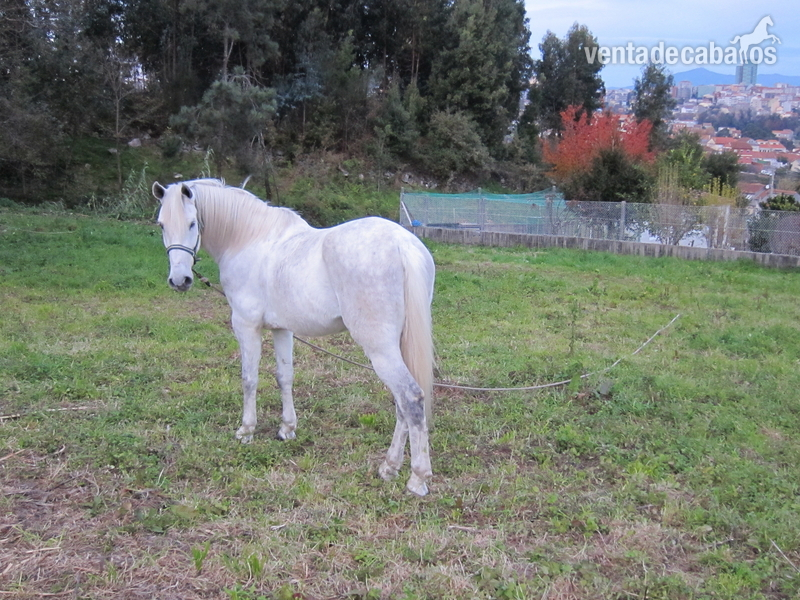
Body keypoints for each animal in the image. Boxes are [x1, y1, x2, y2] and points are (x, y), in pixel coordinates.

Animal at [152, 179, 435, 496]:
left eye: (191, 223)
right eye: (161, 224)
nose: (180, 281)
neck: (248, 240)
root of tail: (403, 244)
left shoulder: (245, 325)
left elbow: (249, 379)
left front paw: (246, 431)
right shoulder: (282, 329)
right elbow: (284, 377)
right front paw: (287, 428)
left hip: (380, 349)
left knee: (410, 398)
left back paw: (417, 478)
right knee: (403, 405)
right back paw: (389, 467)